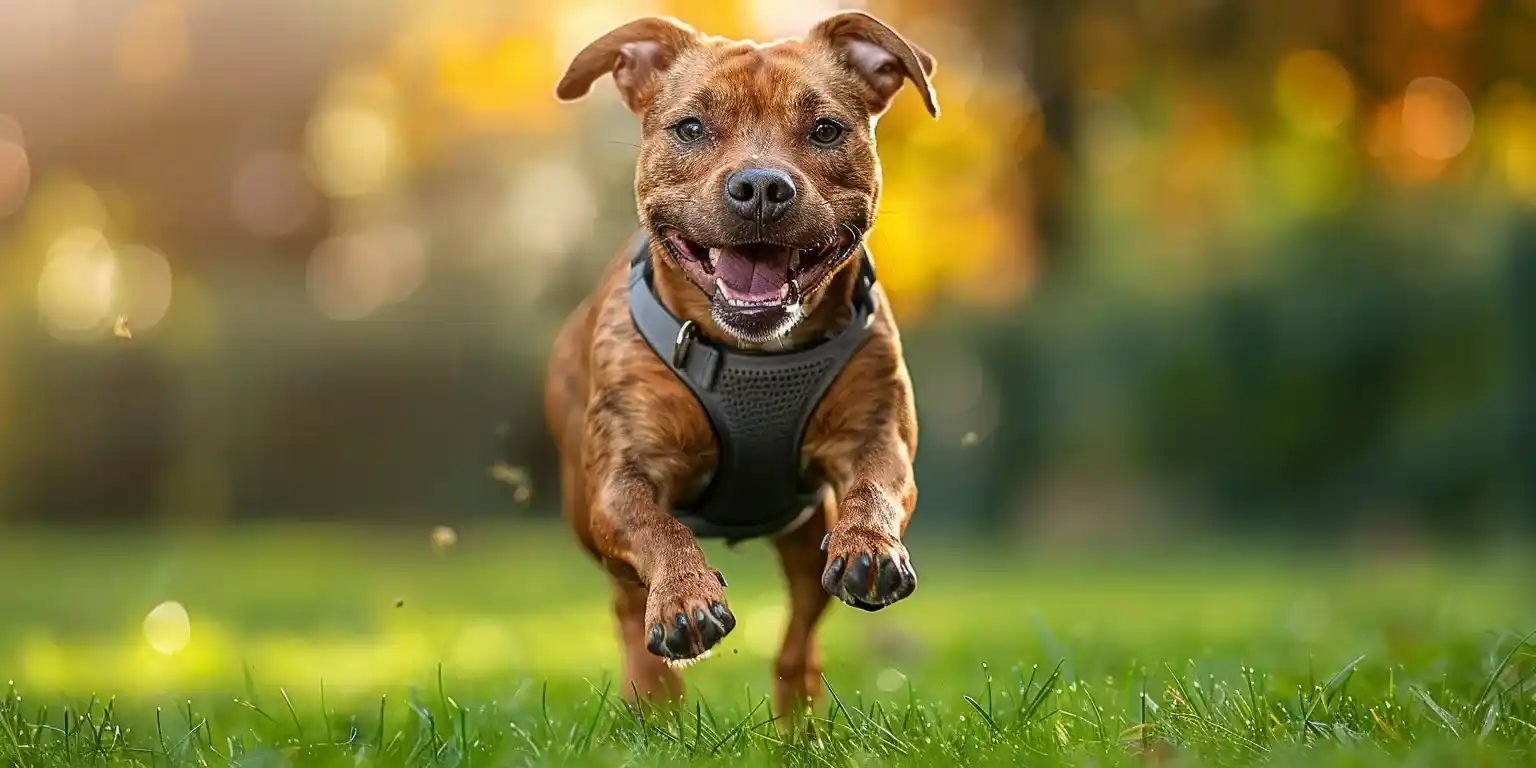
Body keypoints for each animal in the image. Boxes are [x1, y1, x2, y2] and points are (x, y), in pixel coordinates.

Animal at [549, 9, 933, 721]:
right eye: (691, 128)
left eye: (826, 129)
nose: (760, 186)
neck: (756, 358)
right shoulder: (621, 479)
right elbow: (658, 528)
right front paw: (684, 598)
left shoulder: (877, 435)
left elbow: (875, 486)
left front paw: (870, 546)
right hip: (589, 522)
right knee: (626, 609)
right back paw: (653, 697)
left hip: (806, 535)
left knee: (801, 628)